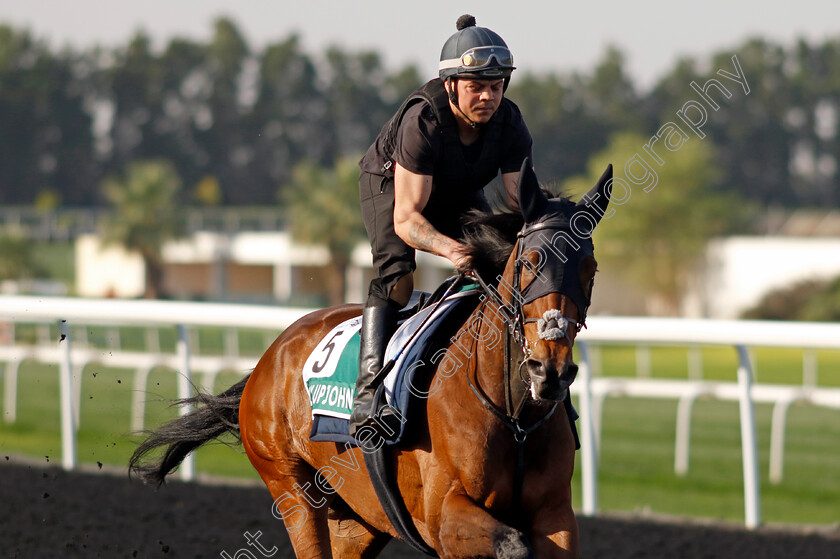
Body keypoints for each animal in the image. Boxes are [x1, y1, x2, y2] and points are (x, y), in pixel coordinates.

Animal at [135, 160, 612, 556]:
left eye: (590, 270)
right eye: (530, 261)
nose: (550, 371)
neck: (514, 416)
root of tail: (271, 355)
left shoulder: (555, 516)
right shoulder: (444, 516)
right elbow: (512, 543)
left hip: (360, 518)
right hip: (292, 488)